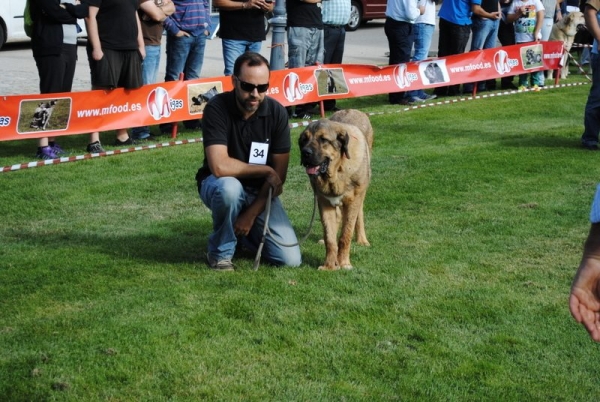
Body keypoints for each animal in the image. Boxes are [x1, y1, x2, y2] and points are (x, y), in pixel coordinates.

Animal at [298, 109, 372, 270]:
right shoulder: (323, 202)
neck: (337, 170)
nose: (305, 152)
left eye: (323, 139)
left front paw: (344, 263)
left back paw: (362, 240)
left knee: (359, 215)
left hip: (361, 193)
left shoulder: (353, 200)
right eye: (304, 140)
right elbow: (330, 237)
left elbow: (345, 235)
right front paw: (329, 266)